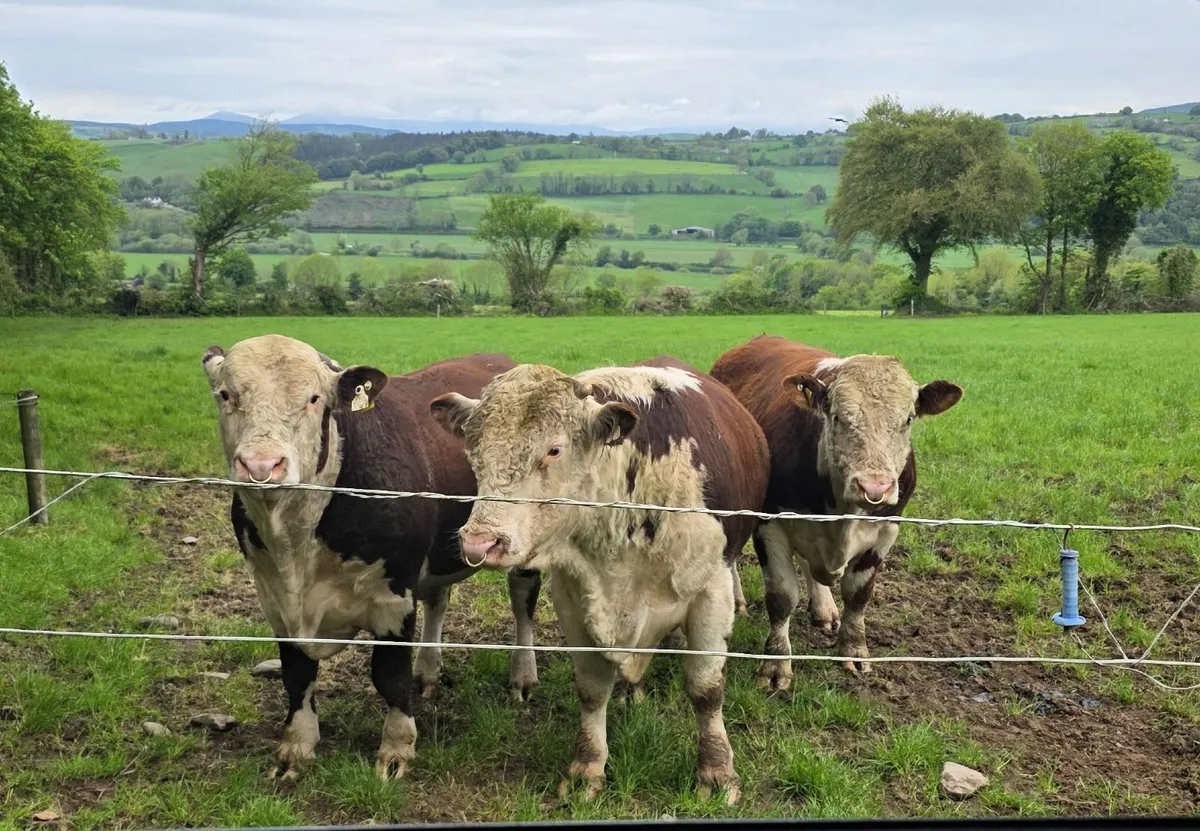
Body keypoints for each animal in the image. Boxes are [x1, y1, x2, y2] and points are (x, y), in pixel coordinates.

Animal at [201, 335, 540, 781]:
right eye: (226, 394)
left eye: (313, 399)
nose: (262, 464)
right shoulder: (274, 597)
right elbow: (296, 675)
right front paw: (297, 745)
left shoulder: (393, 596)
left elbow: (389, 676)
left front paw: (396, 749)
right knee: (438, 601)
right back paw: (428, 672)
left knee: (523, 603)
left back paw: (522, 675)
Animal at [429, 358, 769, 804]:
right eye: (474, 448)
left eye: (554, 449)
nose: (480, 541)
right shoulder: (573, 595)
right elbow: (591, 689)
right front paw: (586, 767)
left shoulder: (711, 590)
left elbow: (706, 688)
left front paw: (716, 771)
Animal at [710, 335, 962, 689]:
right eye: (838, 417)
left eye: (908, 419)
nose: (874, 487)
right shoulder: (771, 523)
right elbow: (781, 597)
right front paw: (776, 664)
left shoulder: (885, 530)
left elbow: (858, 595)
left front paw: (854, 650)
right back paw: (737, 600)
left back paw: (824, 607)